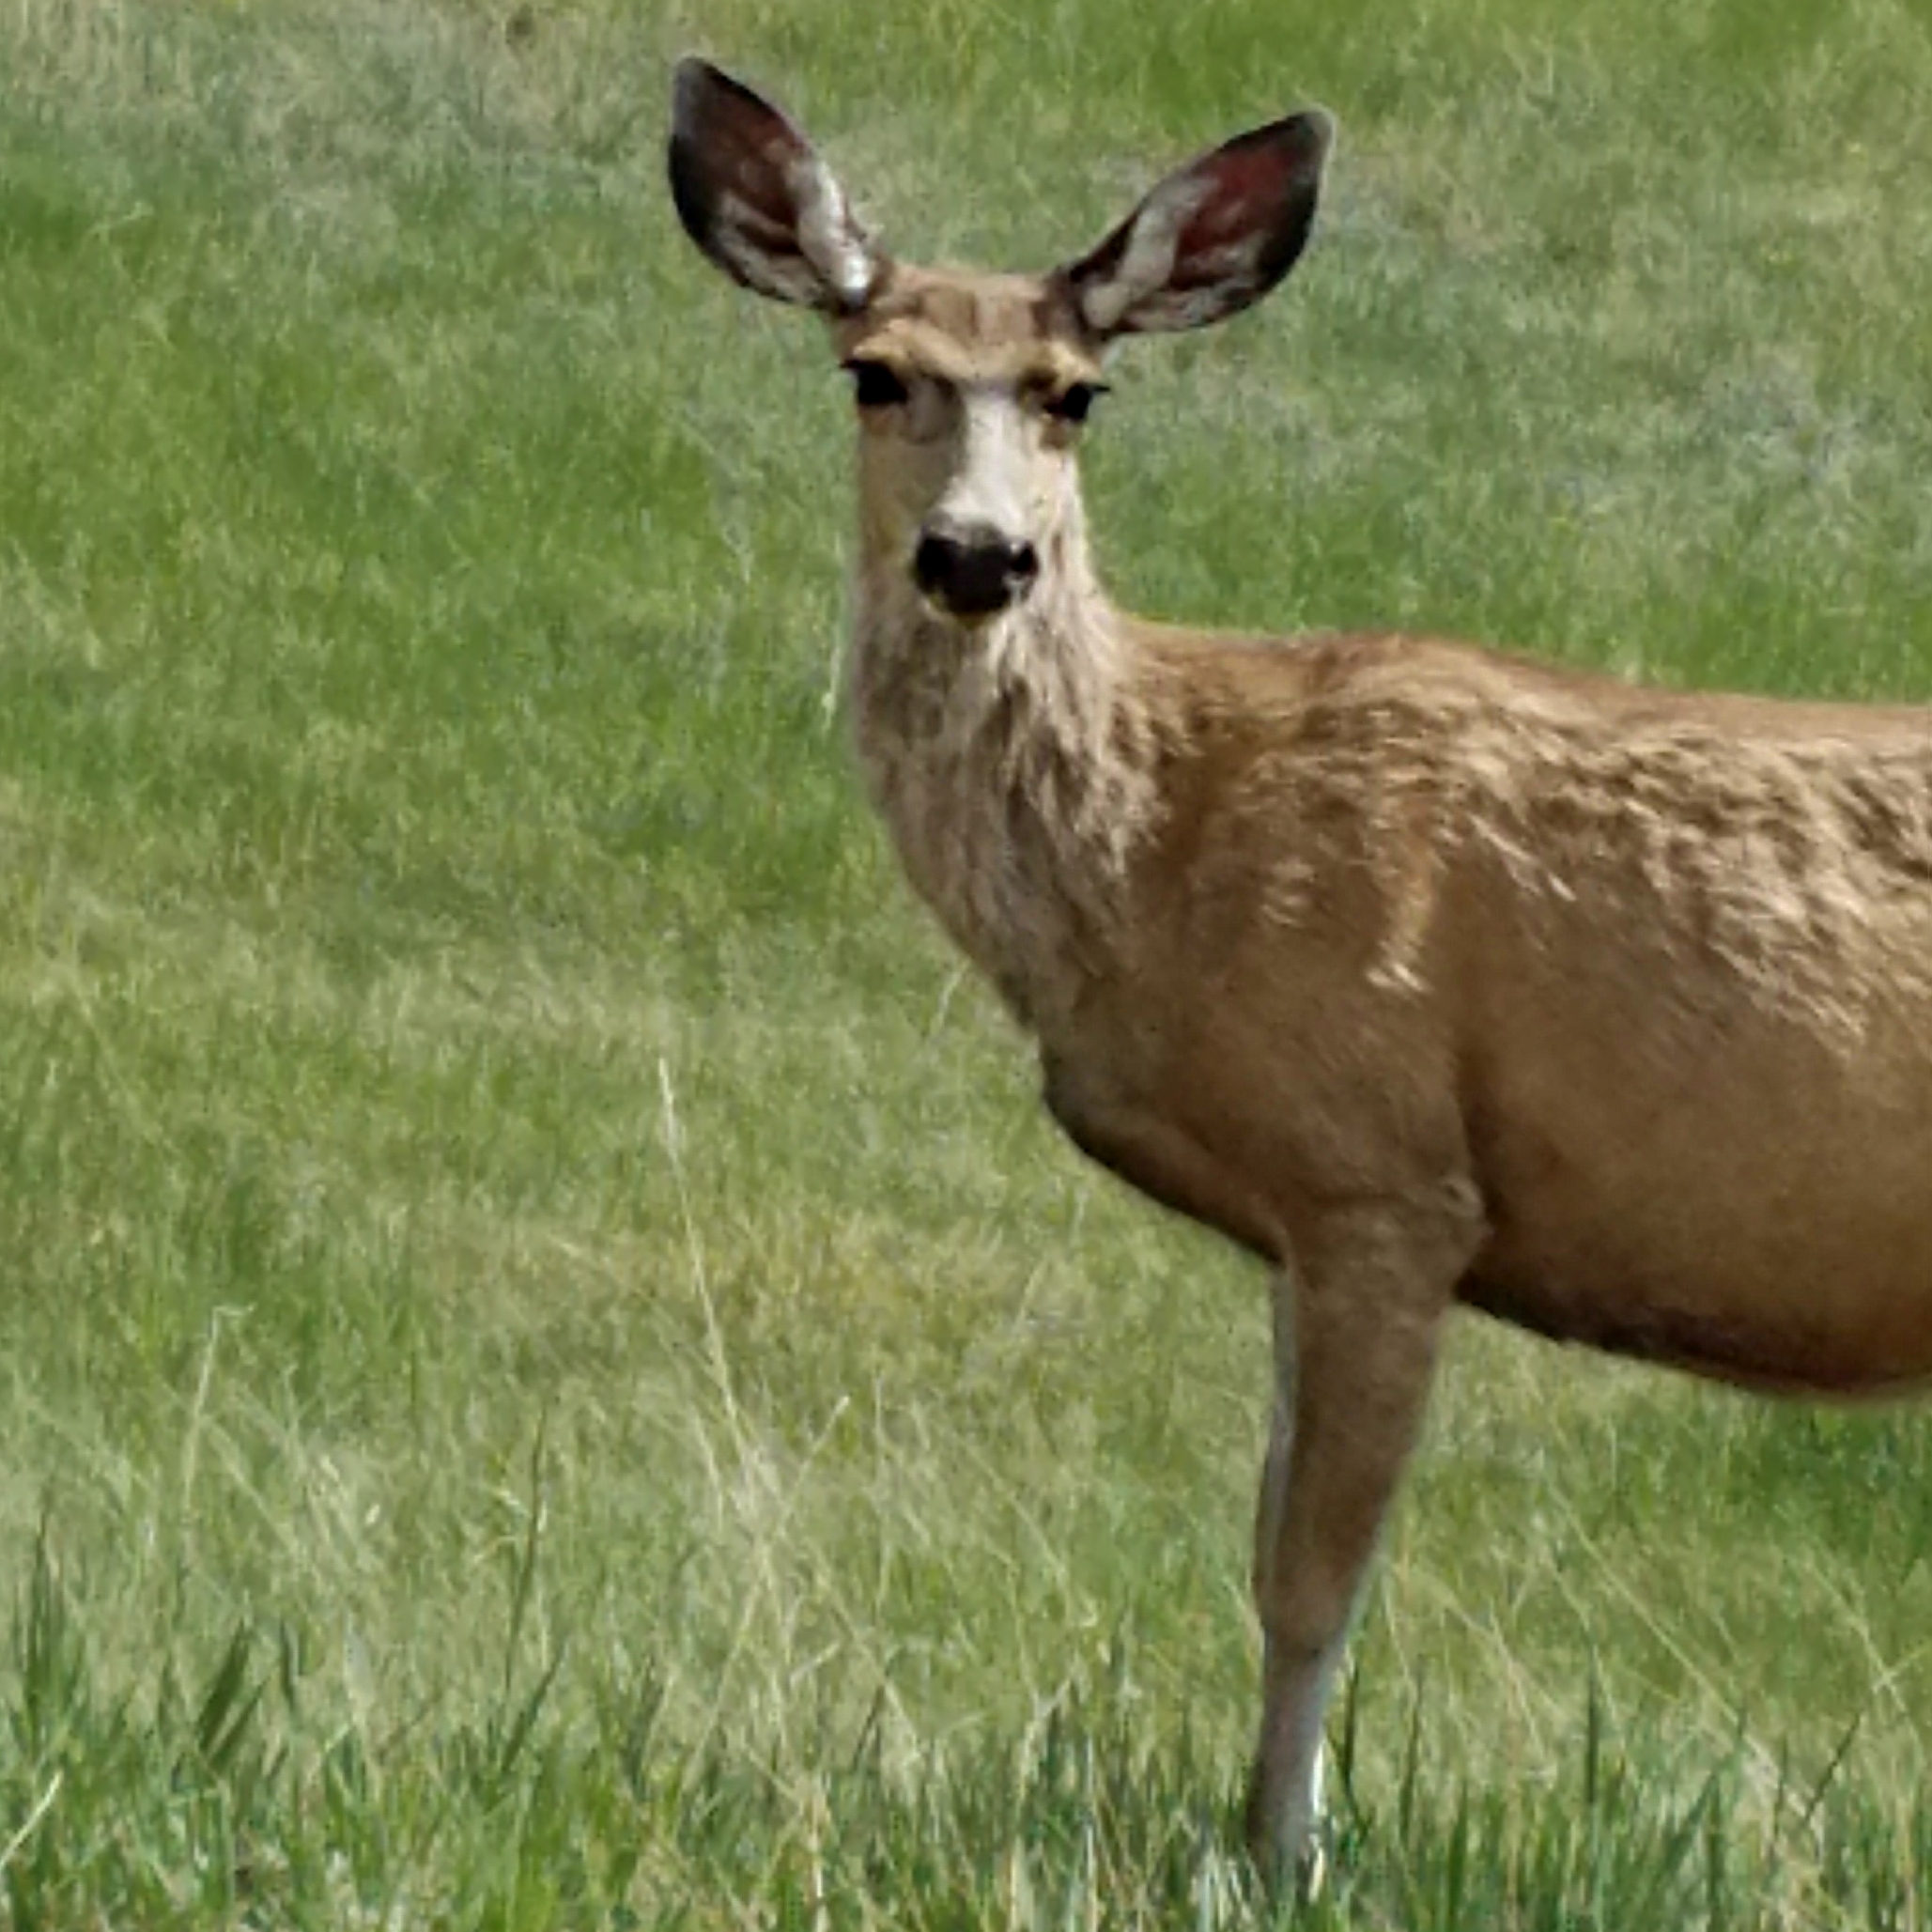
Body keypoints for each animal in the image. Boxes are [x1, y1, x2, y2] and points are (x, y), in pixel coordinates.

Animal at [667, 58, 1932, 1888]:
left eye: (1076, 394)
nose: (978, 556)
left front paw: (1282, 1853)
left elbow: (1308, 1577)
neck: (1166, 838)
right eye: (873, 370)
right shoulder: (1299, 1219)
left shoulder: (1380, 1172)